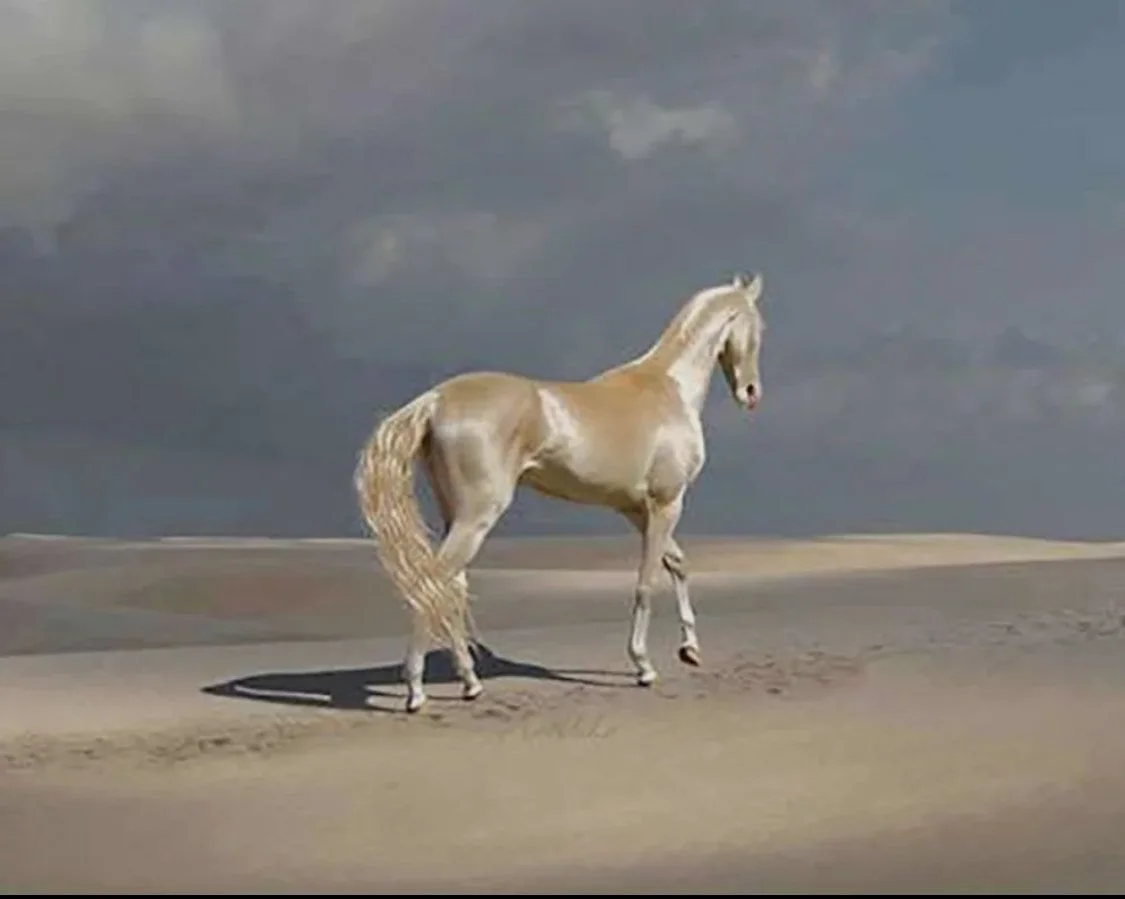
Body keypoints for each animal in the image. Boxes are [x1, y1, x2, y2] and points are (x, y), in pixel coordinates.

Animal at [354, 272, 766, 713]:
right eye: (758, 328)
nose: (751, 393)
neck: (668, 388)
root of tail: (436, 400)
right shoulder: (666, 503)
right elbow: (646, 582)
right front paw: (643, 667)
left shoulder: (637, 510)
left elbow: (678, 564)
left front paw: (689, 649)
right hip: (476, 518)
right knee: (432, 584)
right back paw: (416, 691)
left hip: (457, 517)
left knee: (450, 589)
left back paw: (470, 683)